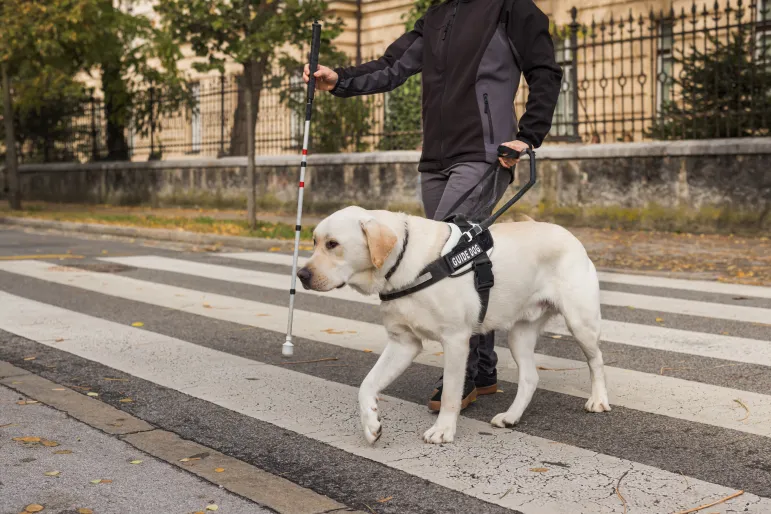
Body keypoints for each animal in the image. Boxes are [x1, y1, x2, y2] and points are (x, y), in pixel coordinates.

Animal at [298, 206, 612, 442]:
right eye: (313, 242)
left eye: (333, 244)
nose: (301, 275)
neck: (406, 263)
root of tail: (569, 235)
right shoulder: (403, 342)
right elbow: (366, 384)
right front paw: (371, 423)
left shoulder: (456, 340)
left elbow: (450, 391)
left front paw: (443, 431)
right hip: (519, 334)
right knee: (530, 377)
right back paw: (511, 416)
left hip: (580, 321)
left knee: (596, 362)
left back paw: (598, 400)